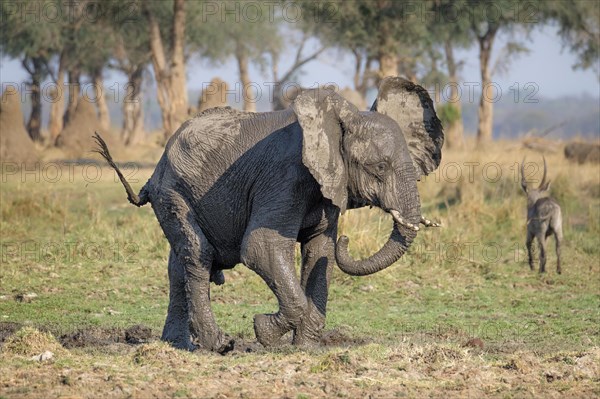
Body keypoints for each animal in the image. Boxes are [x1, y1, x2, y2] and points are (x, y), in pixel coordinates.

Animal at [96, 76, 446, 352]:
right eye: (380, 168)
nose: (347, 240)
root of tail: (155, 171)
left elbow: (320, 251)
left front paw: (305, 348)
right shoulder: (283, 177)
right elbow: (260, 247)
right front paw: (262, 329)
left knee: (177, 262)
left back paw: (177, 344)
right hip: (173, 192)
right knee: (197, 254)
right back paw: (218, 345)